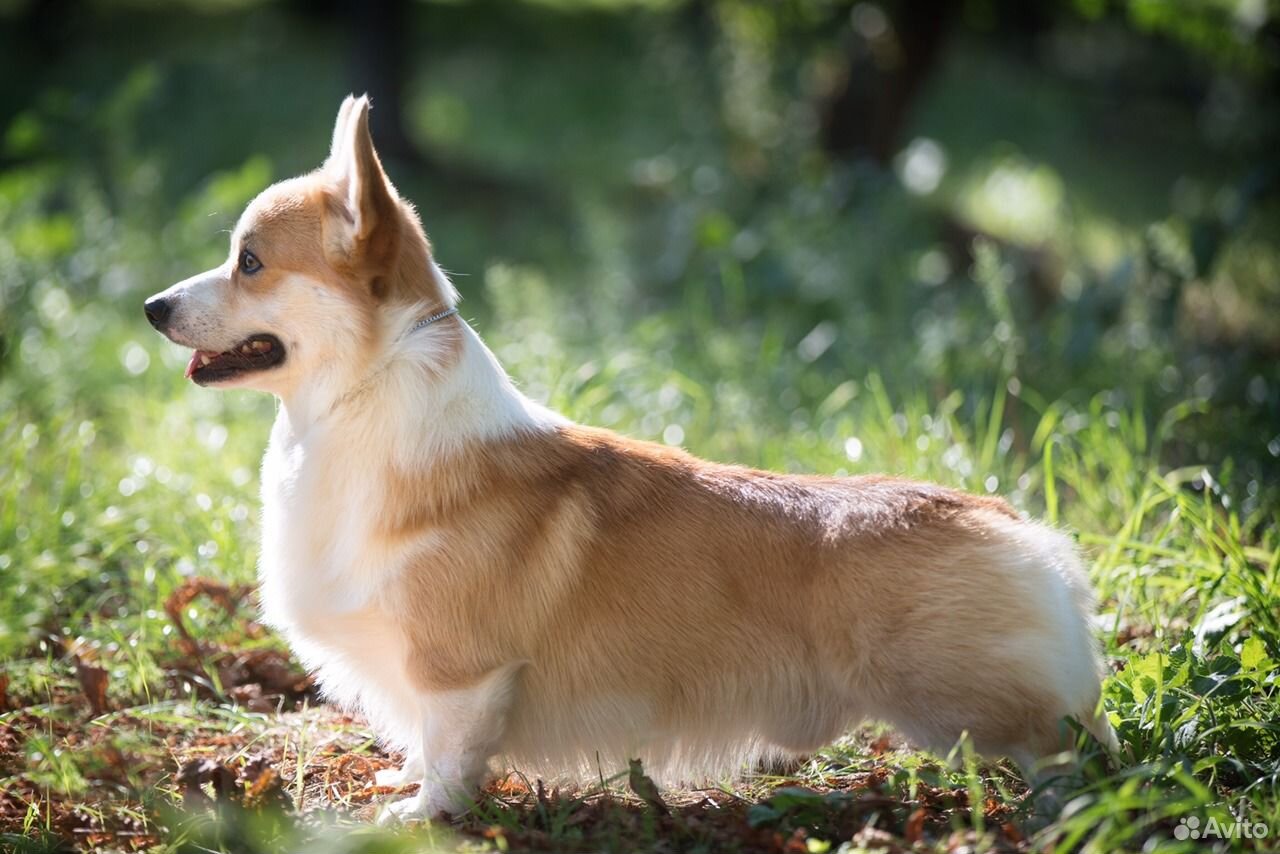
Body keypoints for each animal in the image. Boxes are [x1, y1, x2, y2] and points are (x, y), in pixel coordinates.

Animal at [147, 93, 1111, 819]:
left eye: (250, 262)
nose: (153, 307)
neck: (360, 399)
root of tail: (1016, 523)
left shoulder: (461, 673)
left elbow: (452, 752)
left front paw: (422, 817)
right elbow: (425, 744)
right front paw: (405, 784)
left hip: (961, 700)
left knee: (1065, 745)